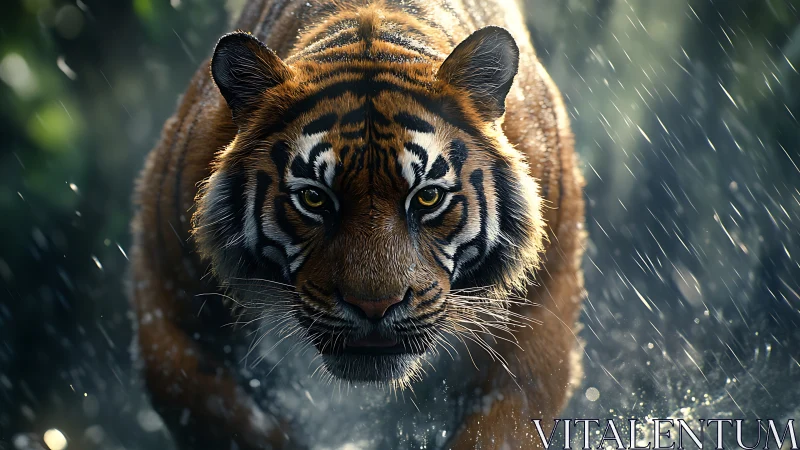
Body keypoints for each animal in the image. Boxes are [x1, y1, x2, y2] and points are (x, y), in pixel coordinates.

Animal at [129, 0, 586, 448]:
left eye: (427, 197)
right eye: (314, 198)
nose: (374, 307)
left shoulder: (539, 315)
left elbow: (501, 429)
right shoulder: (168, 299)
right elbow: (217, 412)